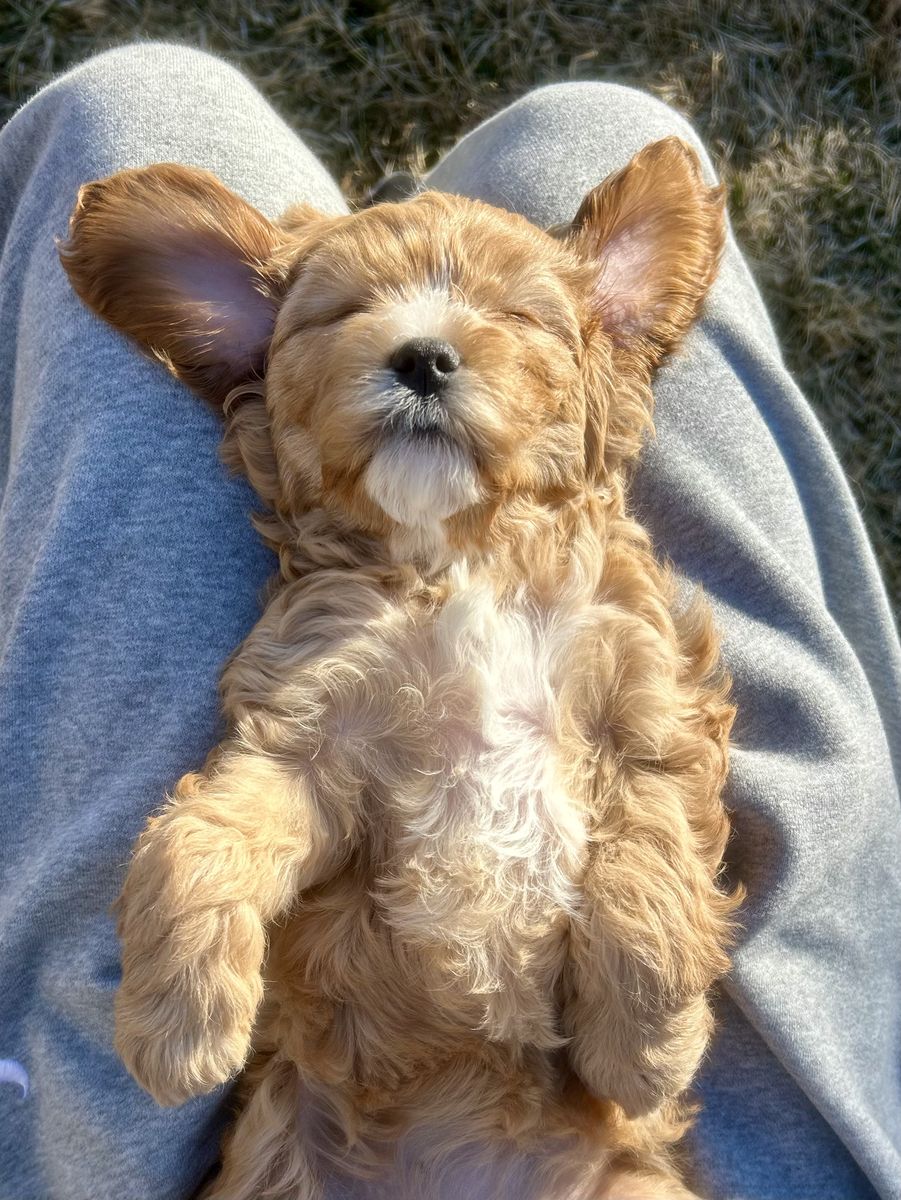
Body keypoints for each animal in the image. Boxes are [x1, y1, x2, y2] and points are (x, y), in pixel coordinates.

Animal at [61, 136, 740, 1200]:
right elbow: (196, 840)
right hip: (277, 1151)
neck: (459, 557)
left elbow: (651, 873)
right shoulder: (304, 733)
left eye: (516, 317)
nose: (422, 354)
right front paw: (178, 1025)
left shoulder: (650, 708)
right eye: (343, 314)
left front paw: (644, 1050)